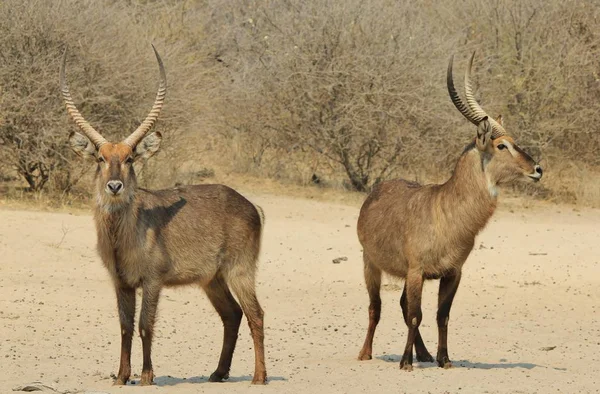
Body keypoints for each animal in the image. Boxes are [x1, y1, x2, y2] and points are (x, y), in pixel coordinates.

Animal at [60, 46, 268, 384]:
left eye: (129, 158)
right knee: (232, 314)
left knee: (255, 314)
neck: (123, 234)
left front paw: (146, 376)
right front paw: (121, 377)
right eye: (101, 158)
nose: (114, 185)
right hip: (212, 279)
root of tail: (251, 204)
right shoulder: (121, 283)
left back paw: (259, 377)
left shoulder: (153, 280)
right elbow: (125, 328)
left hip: (240, 270)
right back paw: (217, 373)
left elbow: (146, 326)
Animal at [356, 53, 544, 372]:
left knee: (403, 306)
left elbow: (440, 315)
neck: (446, 211)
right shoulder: (417, 271)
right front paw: (405, 363)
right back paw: (366, 353)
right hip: (371, 264)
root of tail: (376, 192)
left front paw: (443, 359)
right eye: (501, 145)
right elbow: (416, 315)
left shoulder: (452, 273)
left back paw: (424, 354)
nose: (538, 169)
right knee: (376, 307)